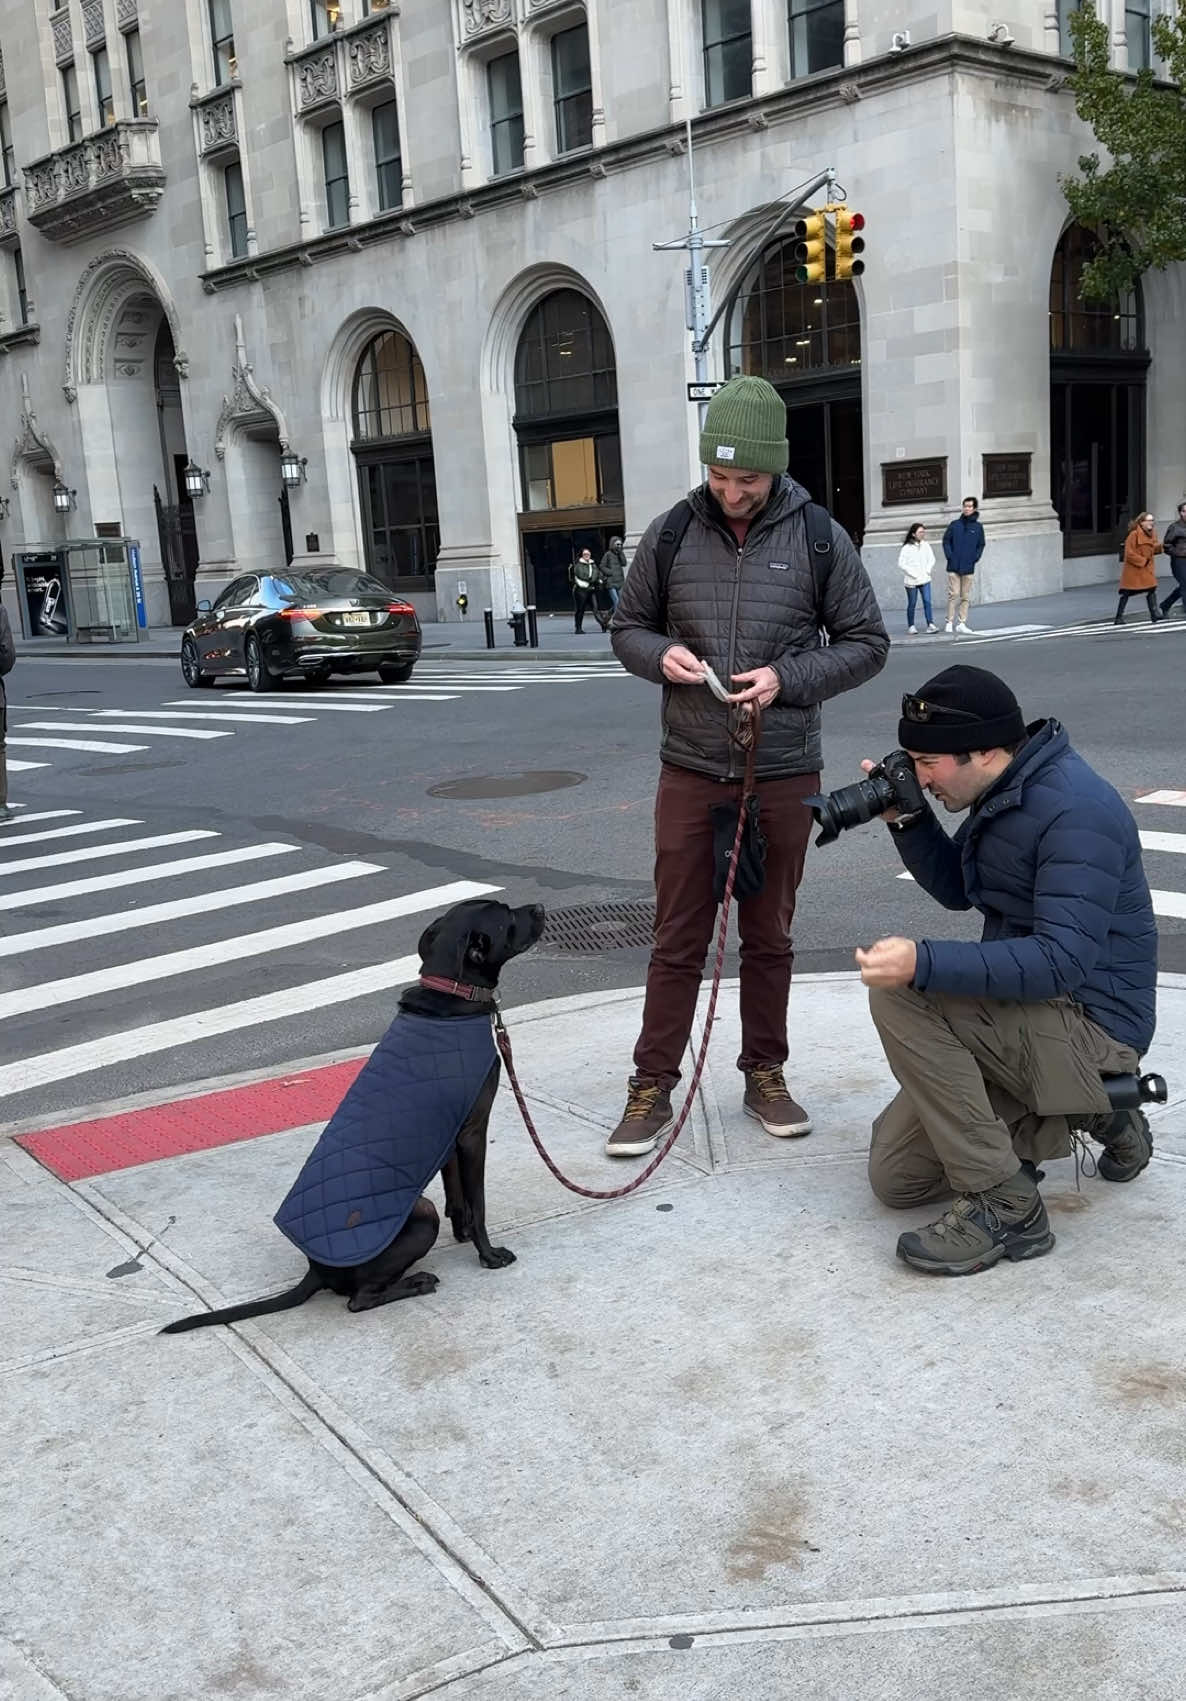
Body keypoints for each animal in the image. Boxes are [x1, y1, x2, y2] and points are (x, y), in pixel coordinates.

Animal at [159, 898, 544, 1333]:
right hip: (420, 1214)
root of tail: (316, 1270)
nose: (540, 908)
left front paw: (461, 1234)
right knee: (359, 1301)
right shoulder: (473, 1131)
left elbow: (457, 1193)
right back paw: (415, 1283)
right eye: (507, 916)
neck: (451, 992)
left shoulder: (449, 1132)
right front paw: (488, 1255)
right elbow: (477, 1201)